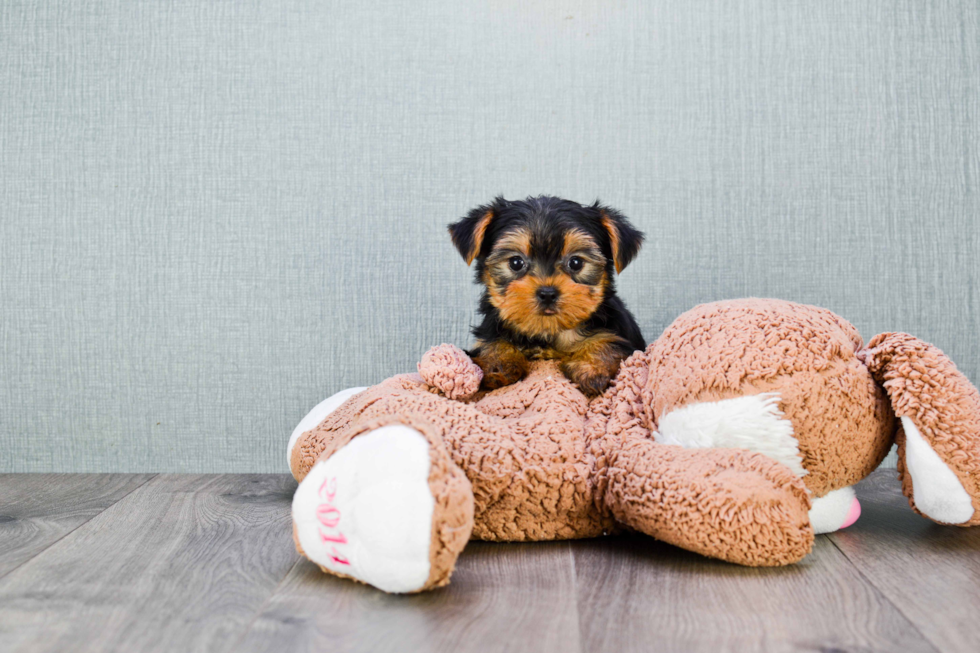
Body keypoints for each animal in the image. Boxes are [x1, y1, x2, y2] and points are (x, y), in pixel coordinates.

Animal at [448, 195, 648, 398]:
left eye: (576, 263)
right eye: (515, 262)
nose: (547, 294)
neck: (549, 331)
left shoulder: (623, 338)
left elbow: (608, 343)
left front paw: (591, 369)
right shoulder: (489, 332)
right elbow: (493, 343)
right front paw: (498, 365)